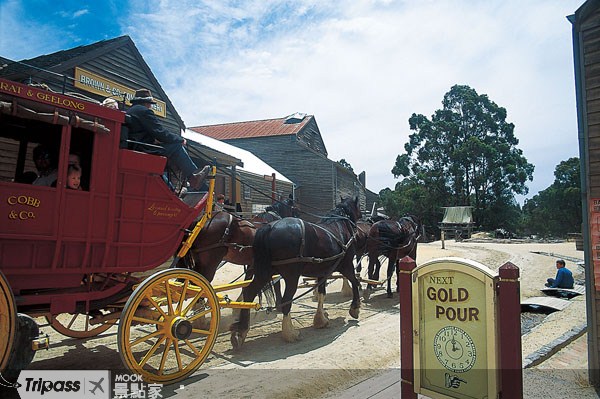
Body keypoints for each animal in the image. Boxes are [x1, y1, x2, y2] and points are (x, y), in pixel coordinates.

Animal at [230, 198, 360, 348]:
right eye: (358, 208)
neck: (339, 225)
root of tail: (269, 228)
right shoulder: (347, 265)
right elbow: (354, 282)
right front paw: (355, 308)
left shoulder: (323, 270)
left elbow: (321, 293)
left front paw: (320, 319)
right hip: (291, 276)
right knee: (286, 300)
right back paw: (290, 333)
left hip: (265, 272)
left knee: (249, 292)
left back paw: (241, 331)